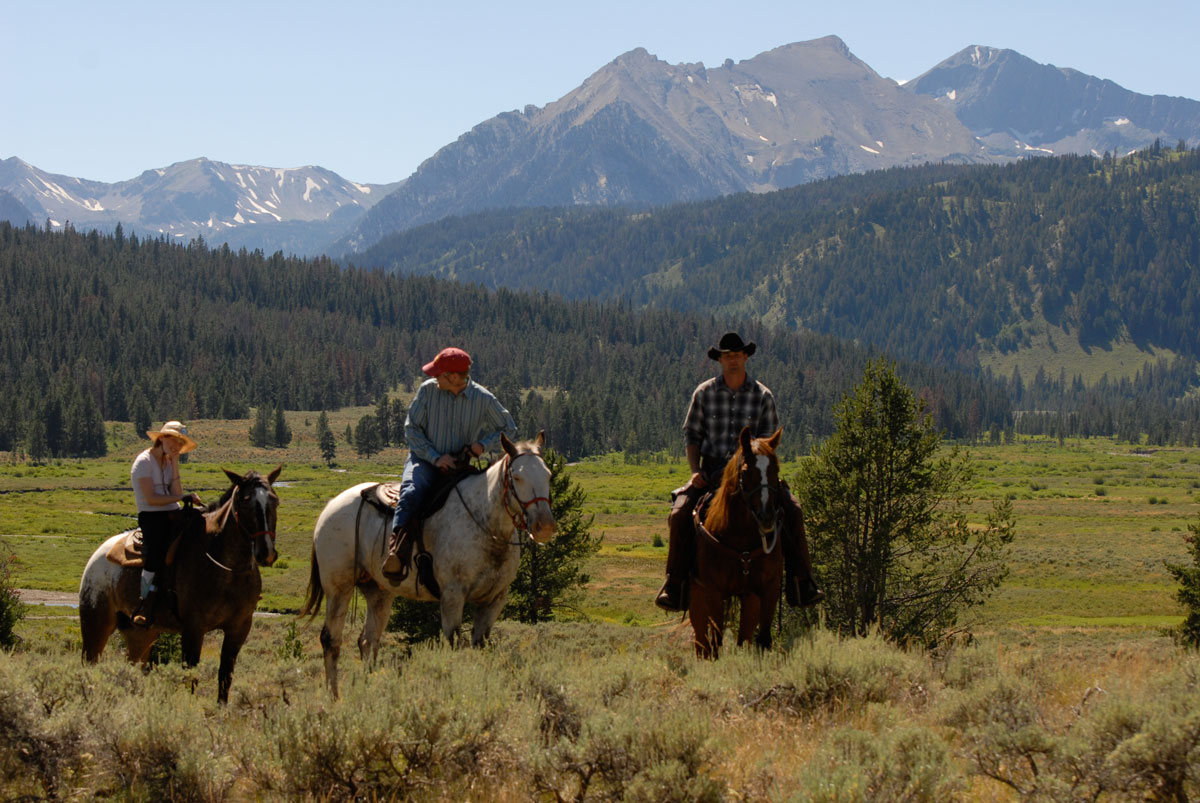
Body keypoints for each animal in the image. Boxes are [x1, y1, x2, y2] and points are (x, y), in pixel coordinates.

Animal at [78, 465, 280, 696]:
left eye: (274, 500)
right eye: (245, 502)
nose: (266, 553)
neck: (227, 570)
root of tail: (97, 556)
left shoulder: (238, 628)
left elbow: (224, 679)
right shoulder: (193, 629)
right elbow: (191, 678)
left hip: (141, 633)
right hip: (96, 625)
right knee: (89, 663)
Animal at [304, 432, 556, 696]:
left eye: (548, 474)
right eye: (517, 477)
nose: (545, 526)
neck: (487, 526)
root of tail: (330, 507)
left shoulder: (494, 599)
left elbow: (480, 645)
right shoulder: (453, 596)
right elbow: (452, 644)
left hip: (379, 591)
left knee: (367, 640)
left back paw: (370, 688)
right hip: (338, 588)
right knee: (330, 640)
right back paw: (334, 696)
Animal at [691, 424, 782, 657]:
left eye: (775, 469)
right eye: (746, 472)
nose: (766, 517)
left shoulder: (768, 589)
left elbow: (763, 639)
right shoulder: (714, 592)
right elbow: (716, 643)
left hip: (749, 599)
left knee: (744, 638)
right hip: (698, 596)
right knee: (701, 641)